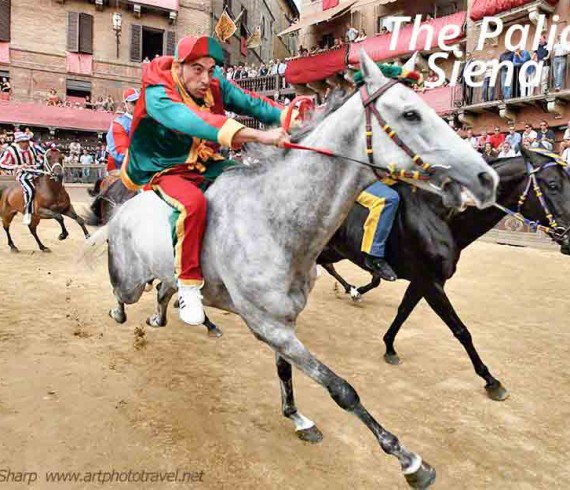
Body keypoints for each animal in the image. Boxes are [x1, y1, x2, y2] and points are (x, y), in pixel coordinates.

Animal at [85, 51, 496, 488]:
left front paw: (297, 417)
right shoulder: (270, 325)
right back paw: (128, 310)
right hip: (129, 280)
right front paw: (408, 458)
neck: (274, 218)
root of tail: (124, 207)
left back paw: (175, 313)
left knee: (165, 289)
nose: (486, 177)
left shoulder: (283, 322)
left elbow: (286, 371)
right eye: (411, 114)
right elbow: (341, 388)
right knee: (122, 294)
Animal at [318, 149, 568, 402]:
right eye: (553, 185)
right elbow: (461, 330)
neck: (440, 215)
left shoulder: (423, 281)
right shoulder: (432, 283)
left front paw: (389, 347)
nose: (568, 238)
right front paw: (491, 380)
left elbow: (403, 312)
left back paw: (350, 290)